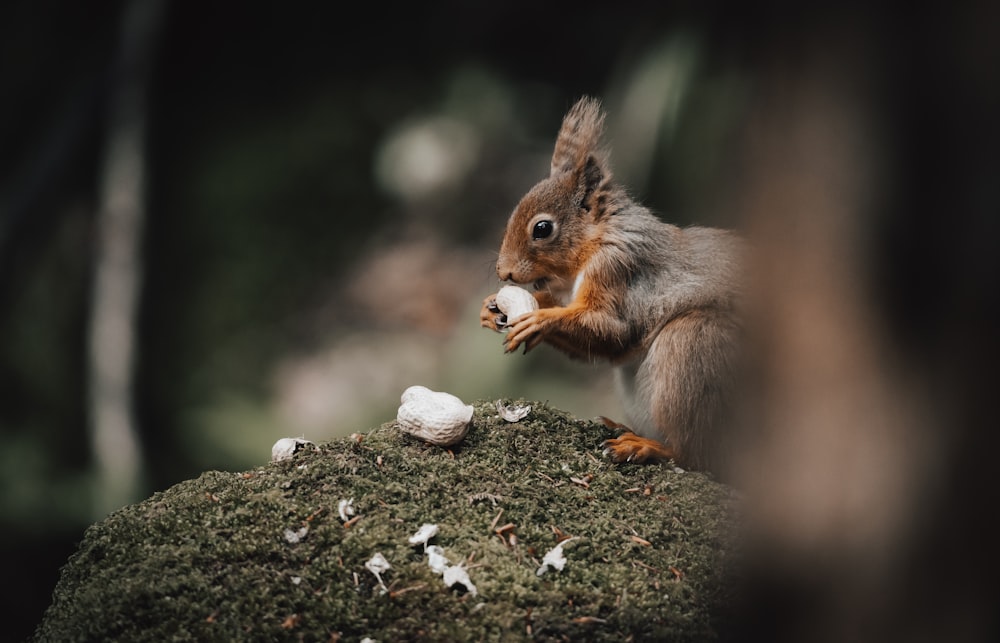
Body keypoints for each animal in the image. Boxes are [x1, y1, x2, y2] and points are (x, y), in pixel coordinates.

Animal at [480, 95, 748, 470]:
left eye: (542, 228)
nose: (503, 272)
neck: (596, 240)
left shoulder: (618, 268)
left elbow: (613, 331)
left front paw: (539, 320)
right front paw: (492, 308)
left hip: (694, 346)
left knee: (694, 454)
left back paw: (646, 446)